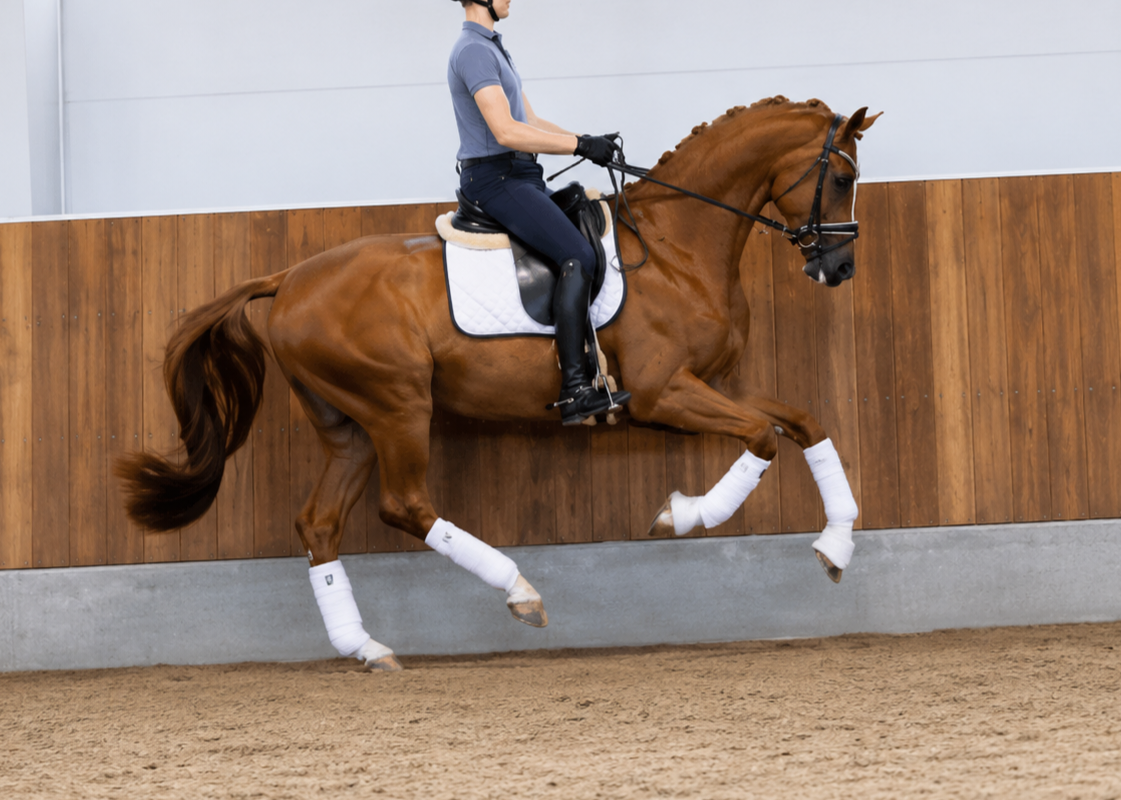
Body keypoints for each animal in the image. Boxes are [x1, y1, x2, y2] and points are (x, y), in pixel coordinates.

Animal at [117, 96, 879, 671]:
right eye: (842, 178)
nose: (839, 268)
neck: (674, 248)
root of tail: (290, 279)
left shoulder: (714, 380)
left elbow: (803, 423)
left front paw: (836, 546)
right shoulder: (666, 392)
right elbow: (761, 437)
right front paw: (682, 515)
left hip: (350, 426)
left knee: (320, 522)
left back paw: (366, 648)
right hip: (397, 406)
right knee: (405, 505)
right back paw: (519, 592)